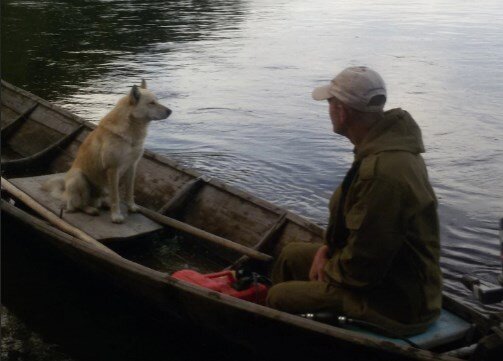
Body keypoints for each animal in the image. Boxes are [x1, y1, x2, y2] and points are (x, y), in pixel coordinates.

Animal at [42, 80, 171, 222]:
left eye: (157, 101)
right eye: (151, 103)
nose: (170, 111)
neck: (132, 130)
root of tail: (65, 194)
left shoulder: (132, 166)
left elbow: (129, 192)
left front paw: (132, 207)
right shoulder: (113, 168)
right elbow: (116, 196)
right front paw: (116, 216)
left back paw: (103, 204)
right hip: (78, 178)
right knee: (77, 205)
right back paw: (90, 209)